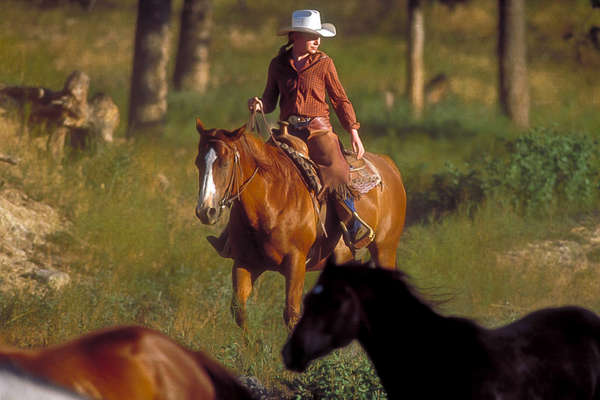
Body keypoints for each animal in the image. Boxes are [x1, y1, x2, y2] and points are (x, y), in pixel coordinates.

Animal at [195, 119, 406, 332]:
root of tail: (389, 165)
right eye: (198, 163)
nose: (205, 210)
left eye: (224, 162)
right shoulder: (245, 261)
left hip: (385, 249)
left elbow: (292, 314)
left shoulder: (295, 261)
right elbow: (238, 310)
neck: (272, 200)